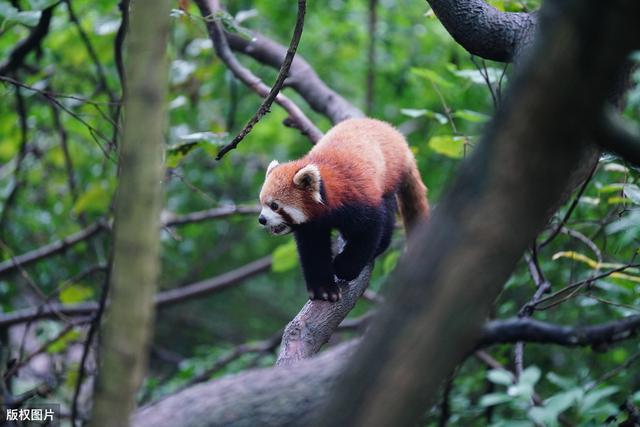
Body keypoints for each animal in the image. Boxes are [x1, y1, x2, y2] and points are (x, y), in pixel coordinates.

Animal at [258, 118, 428, 302]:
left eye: (274, 206)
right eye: (262, 203)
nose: (262, 219)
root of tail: (397, 137)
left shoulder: (358, 201)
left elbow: (368, 231)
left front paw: (344, 268)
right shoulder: (311, 227)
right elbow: (313, 251)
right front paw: (323, 289)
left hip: (389, 175)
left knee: (387, 212)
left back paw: (381, 244)